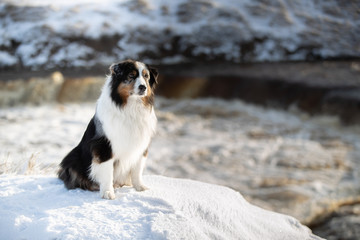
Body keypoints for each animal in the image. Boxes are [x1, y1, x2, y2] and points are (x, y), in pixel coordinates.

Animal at [58, 59, 158, 199]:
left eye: (146, 76)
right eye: (131, 76)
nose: (143, 87)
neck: (130, 107)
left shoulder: (140, 145)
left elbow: (137, 170)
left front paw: (140, 187)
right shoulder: (104, 146)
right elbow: (107, 172)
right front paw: (107, 192)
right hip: (72, 158)